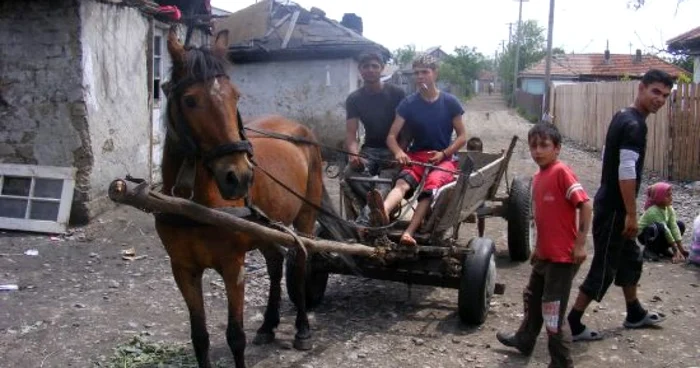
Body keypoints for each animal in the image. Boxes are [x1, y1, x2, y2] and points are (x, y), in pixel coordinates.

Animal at [155, 26, 320, 368]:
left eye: (236, 96)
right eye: (190, 100)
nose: (240, 177)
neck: (197, 205)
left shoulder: (233, 267)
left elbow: (235, 336)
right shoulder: (183, 269)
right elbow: (200, 337)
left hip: (306, 218)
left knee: (299, 265)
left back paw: (301, 329)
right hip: (268, 227)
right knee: (275, 264)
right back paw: (269, 325)